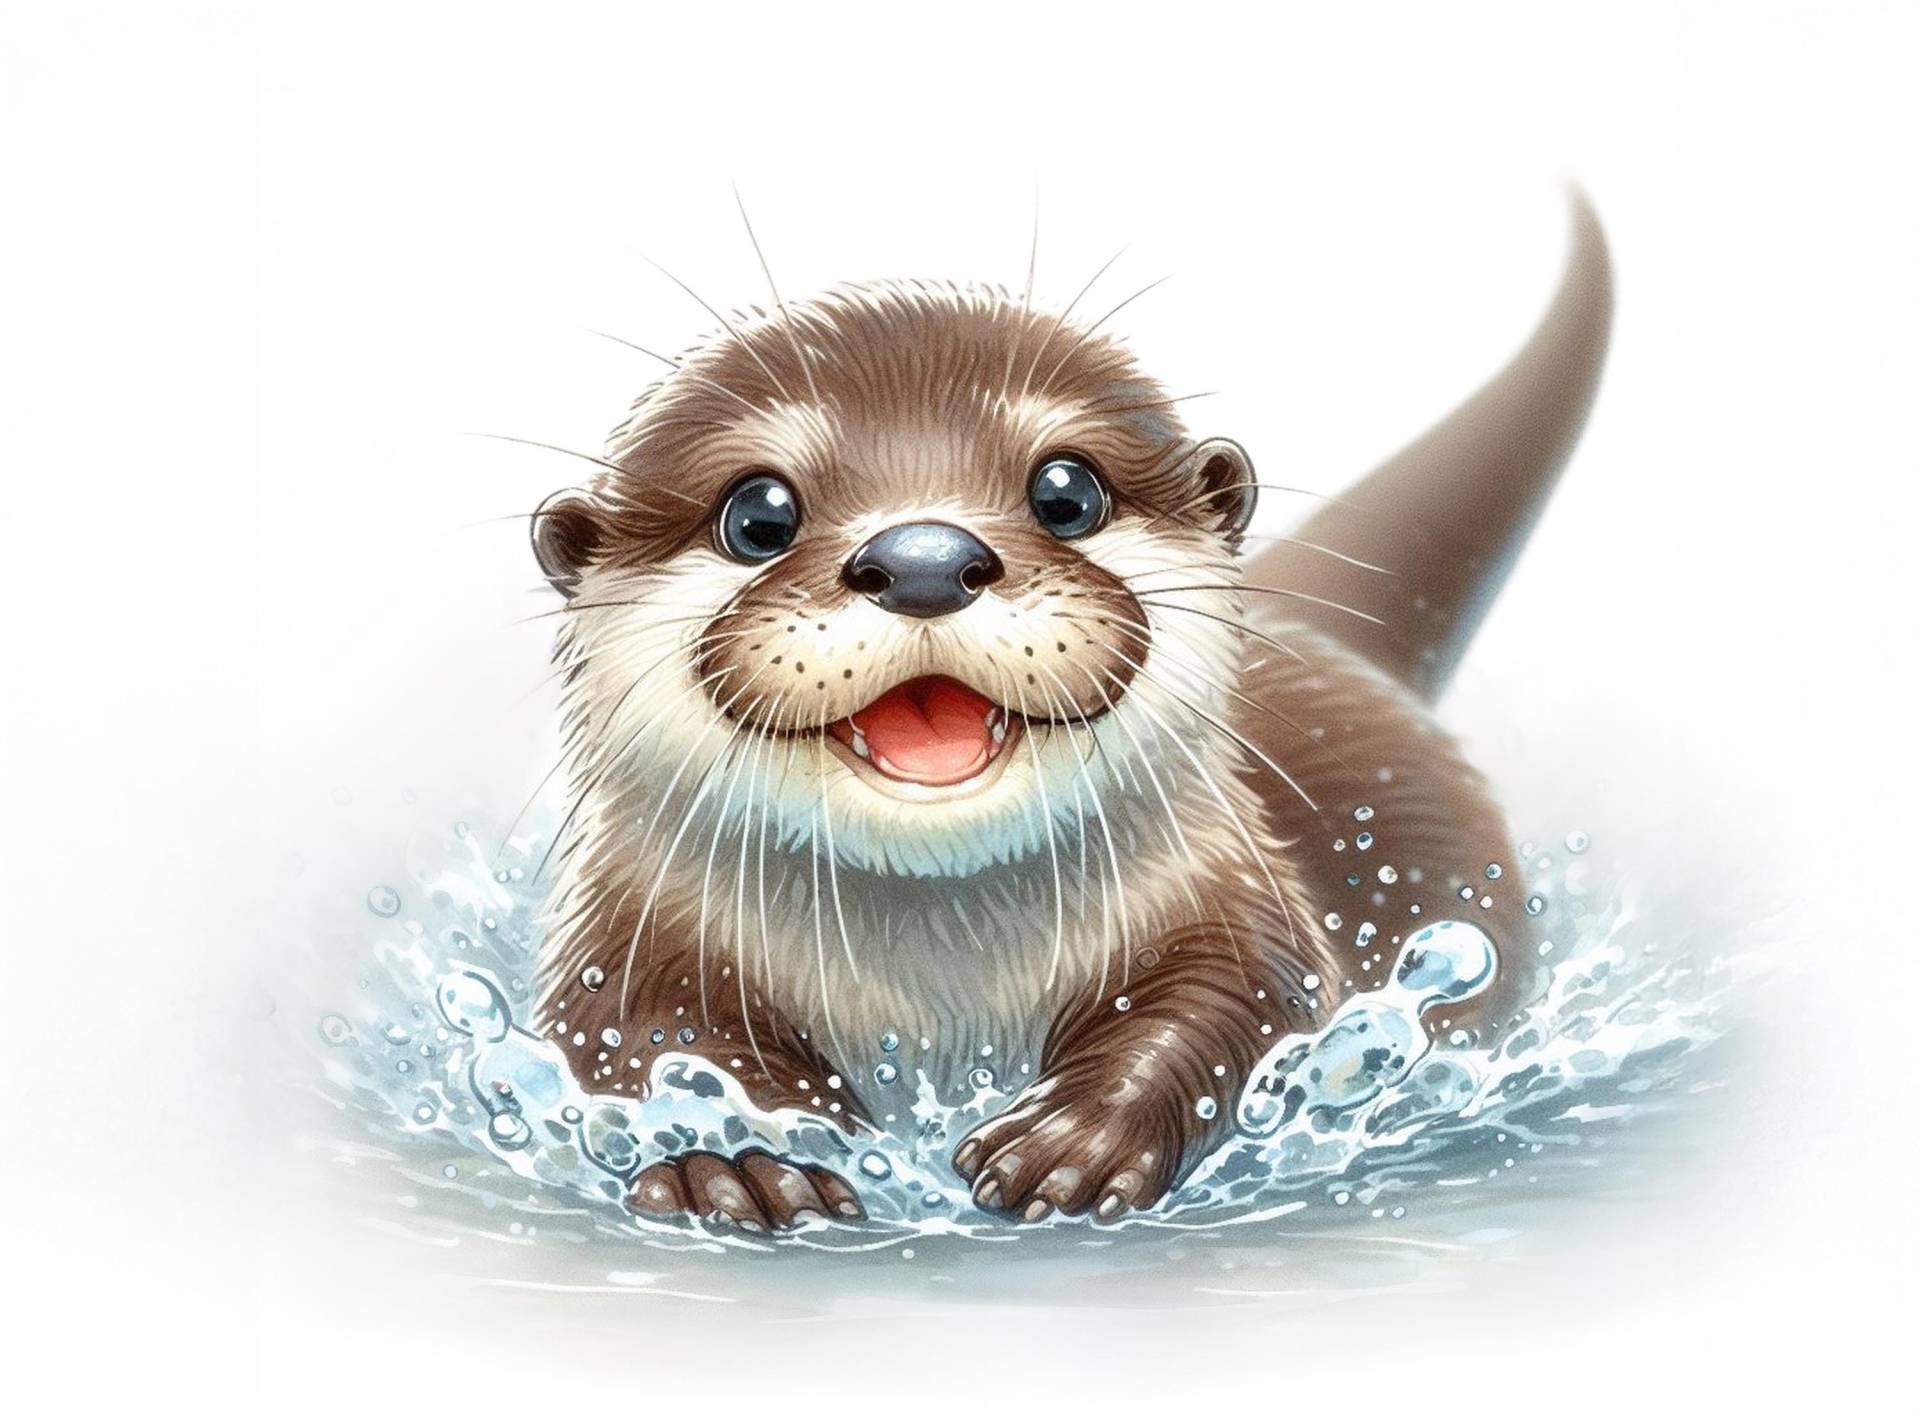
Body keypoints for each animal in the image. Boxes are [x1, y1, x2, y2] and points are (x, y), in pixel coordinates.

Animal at [526, 199, 1611, 1230]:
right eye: (757, 514)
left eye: (1066, 490)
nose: (924, 558)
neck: (938, 987)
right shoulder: (617, 934)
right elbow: (645, 1035)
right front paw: (738, 1149)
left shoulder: (1239, 892)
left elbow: (1238, 998)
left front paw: (1075, 1138)